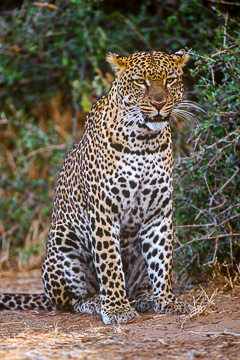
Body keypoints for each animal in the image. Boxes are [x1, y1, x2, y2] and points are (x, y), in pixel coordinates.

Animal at [0, 49, 193, 324]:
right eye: (140, 82)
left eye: (170, 80)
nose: (158, 104)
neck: (145, 142)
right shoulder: (104, 211)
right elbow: (109, 262)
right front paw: (116, 309)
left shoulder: (158, 213)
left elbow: (162, 261)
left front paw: (167, 301)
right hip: (63, 244)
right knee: (70, 301)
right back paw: (97, 302)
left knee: (138, 285)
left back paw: (144, 298)